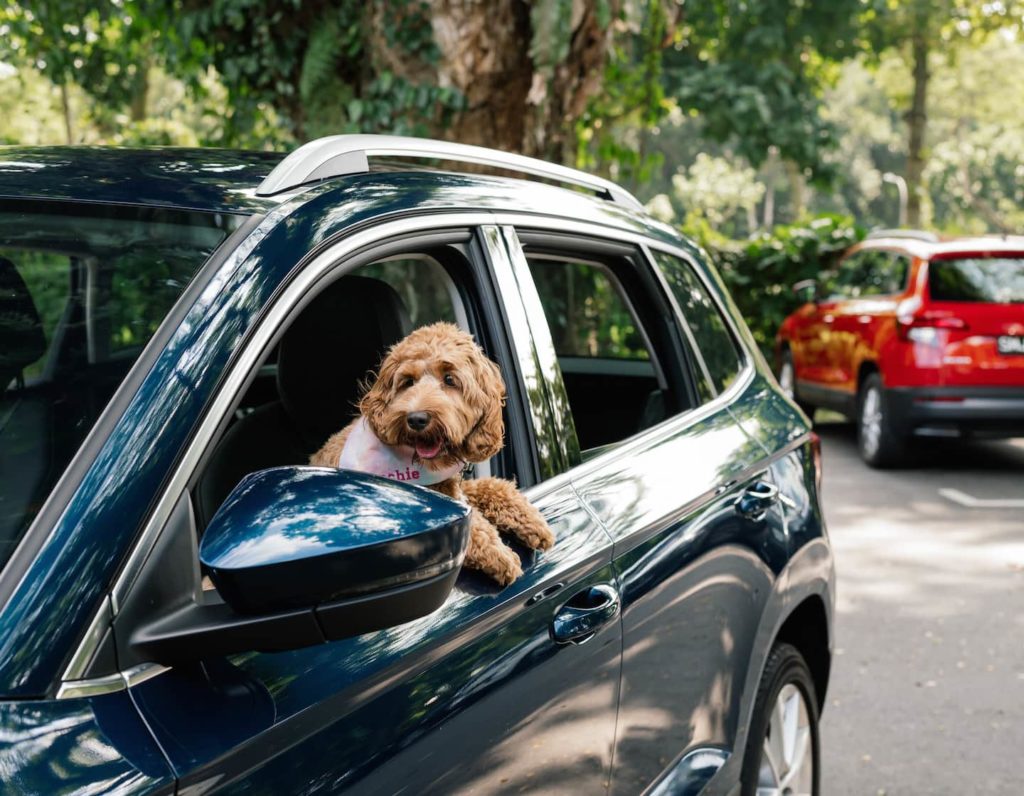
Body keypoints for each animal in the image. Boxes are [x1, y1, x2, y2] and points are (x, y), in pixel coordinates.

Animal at [309, 317, 552, 581]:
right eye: (407, 382)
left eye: (450, 379)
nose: (416, 419)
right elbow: (467, 526)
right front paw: (500, 553)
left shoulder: (454, 485)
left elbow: (492, 486)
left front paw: (531, 519)